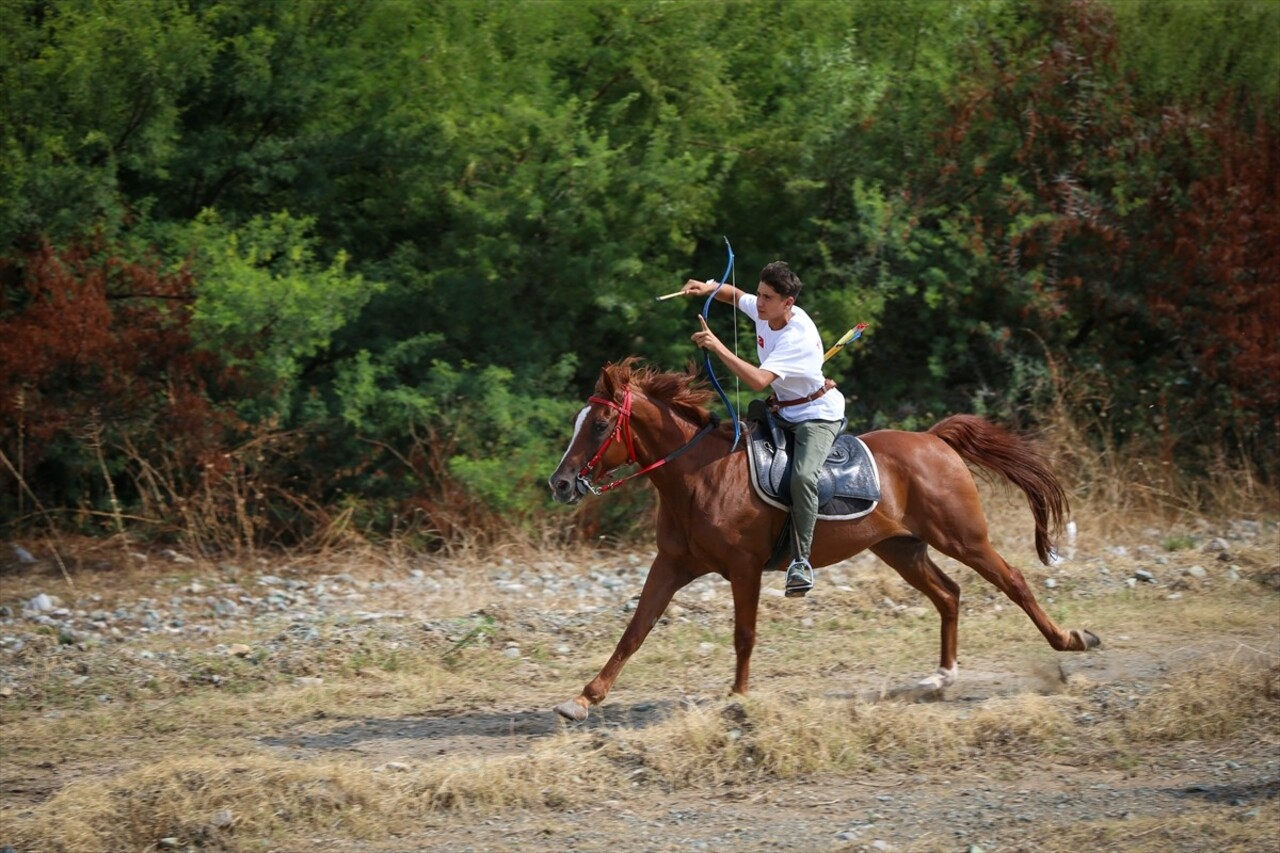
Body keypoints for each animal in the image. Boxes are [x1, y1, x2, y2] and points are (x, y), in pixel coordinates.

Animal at [545, 356, 1095, 717]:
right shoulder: (672, 565)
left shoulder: (743, 568)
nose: (561, 483)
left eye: (599, 425)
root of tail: (934, 439)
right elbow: (635, 630)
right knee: (948, 594)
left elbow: (743, 634)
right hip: (900, 548)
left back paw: (1071, 639)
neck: (699, 476)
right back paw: (941, 677)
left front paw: (738, 698)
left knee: (1013, 580)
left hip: (963, 538)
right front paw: (584, 698)